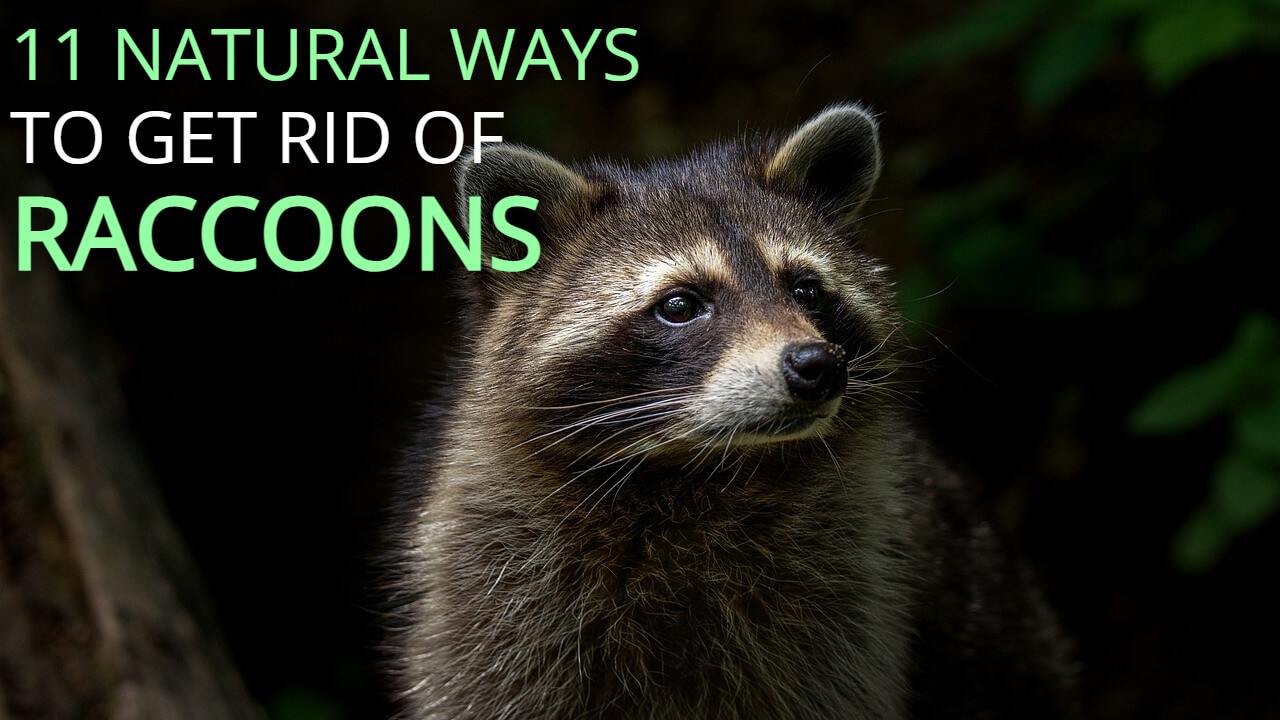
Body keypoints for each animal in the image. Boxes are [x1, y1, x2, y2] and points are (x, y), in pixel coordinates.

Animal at [386, 105, 1076, 719]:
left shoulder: (852, 606)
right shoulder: (490, 598)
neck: (698, 470)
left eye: (806, 289)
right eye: (680, 304)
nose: (817, 365)